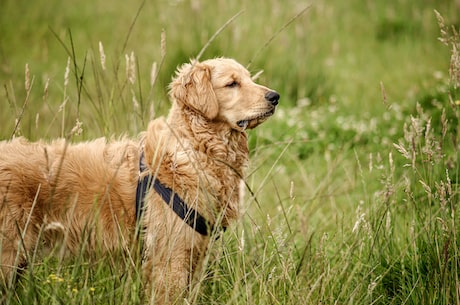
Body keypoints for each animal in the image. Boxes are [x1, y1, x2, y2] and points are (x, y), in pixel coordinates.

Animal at [0, 57, 278, 302]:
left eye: (249, 79)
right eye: (232, 83)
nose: (275, 97)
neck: (196, 149)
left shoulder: (195, 255)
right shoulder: (169, 259)